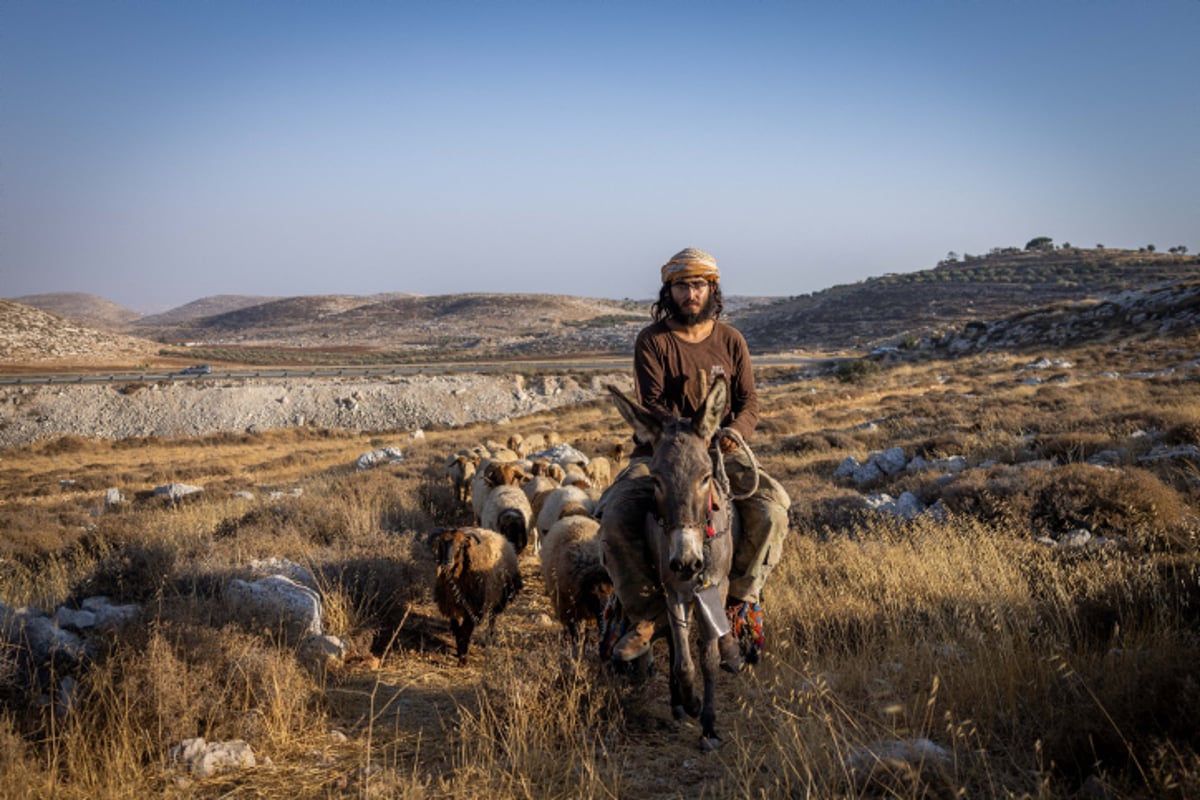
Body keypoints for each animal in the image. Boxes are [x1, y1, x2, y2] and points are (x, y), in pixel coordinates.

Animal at [432, 527, 525, 666]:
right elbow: (458, 630)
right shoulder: (452, 607)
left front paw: (463, 658)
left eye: (461, 545)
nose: (446, 562)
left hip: (499, 598)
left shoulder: (474, 608)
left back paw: (489, 638)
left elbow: (465, 632)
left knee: (492, 618)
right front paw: (460, 652)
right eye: (442, 544)